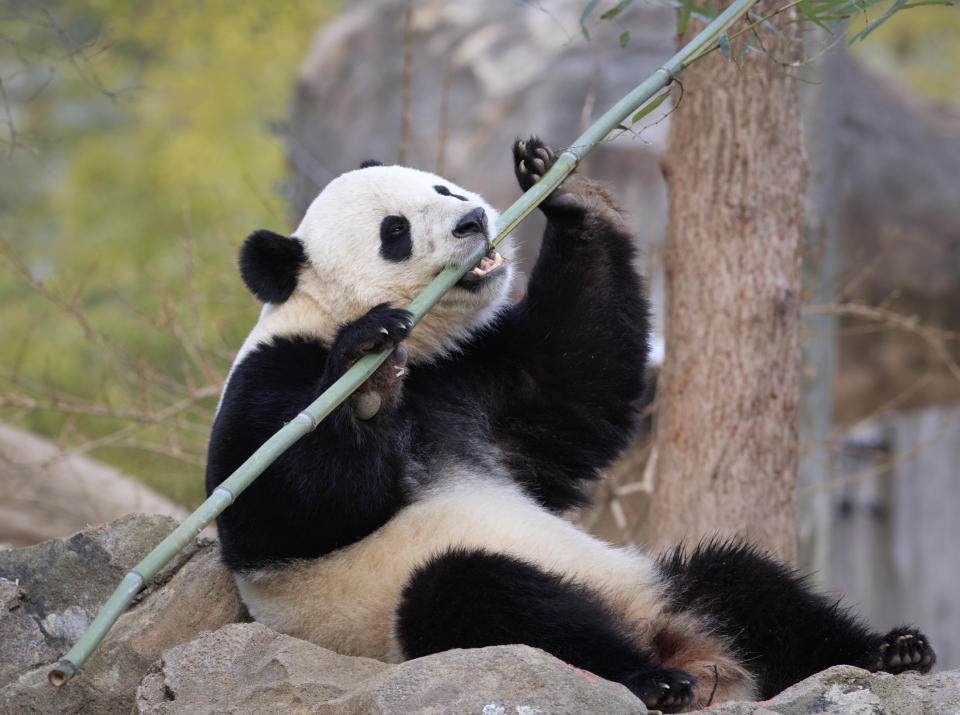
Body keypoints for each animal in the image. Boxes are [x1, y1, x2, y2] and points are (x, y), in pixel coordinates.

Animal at [206, 137, 932, 712]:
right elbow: (282, 505)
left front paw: (569, 192)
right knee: (480, 593)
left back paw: (887, 652)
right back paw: (651, 679)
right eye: (395, 231)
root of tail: (688, 649)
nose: (472, 218)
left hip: (656, 584)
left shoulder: (473, 379)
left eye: (441, 187)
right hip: (404, 620)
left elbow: (574, 383)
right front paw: (366, 380)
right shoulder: (267, 382)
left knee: (743, 582)